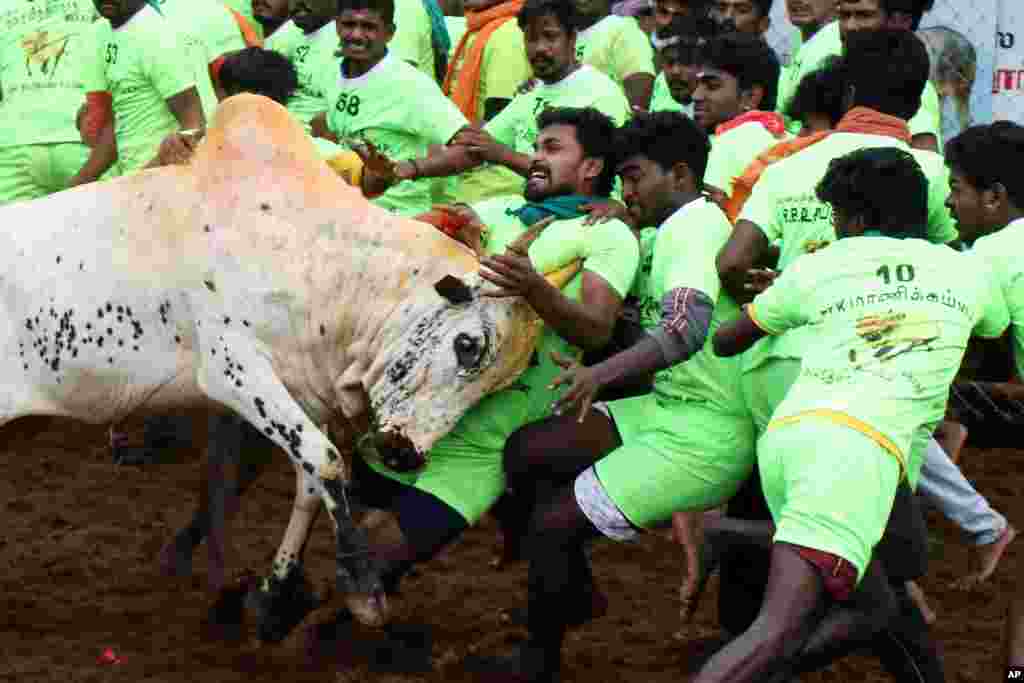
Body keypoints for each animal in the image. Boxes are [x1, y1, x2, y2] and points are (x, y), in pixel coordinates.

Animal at [0, 96, 577, 643]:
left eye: (502, 386)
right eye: (468, 344)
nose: (404, 453)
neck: (312, 255)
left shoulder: (307, 395)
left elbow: (308, 482)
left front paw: (274, 596)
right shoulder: (235, 370)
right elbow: (326, 463)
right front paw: (361, 588)